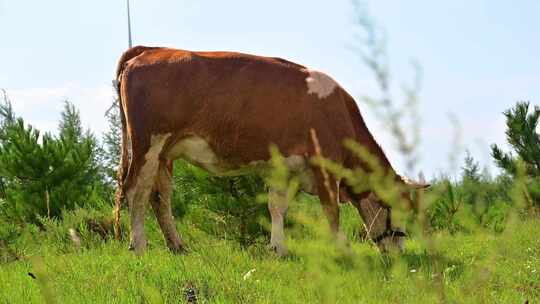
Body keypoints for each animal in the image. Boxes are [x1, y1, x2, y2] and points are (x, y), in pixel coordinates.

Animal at [114, 46, 426, 255]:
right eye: (396, 206)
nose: (399, 251)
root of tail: (151, 50)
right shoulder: (324, 165)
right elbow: (331, 211)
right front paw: (341, 251)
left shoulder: (285, 168)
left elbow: (277, 207)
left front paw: (278, 248)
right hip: (147, 144)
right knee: (135, 191)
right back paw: (138, 246)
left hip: (164, 153)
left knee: (159, 196)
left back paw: (178, 246)